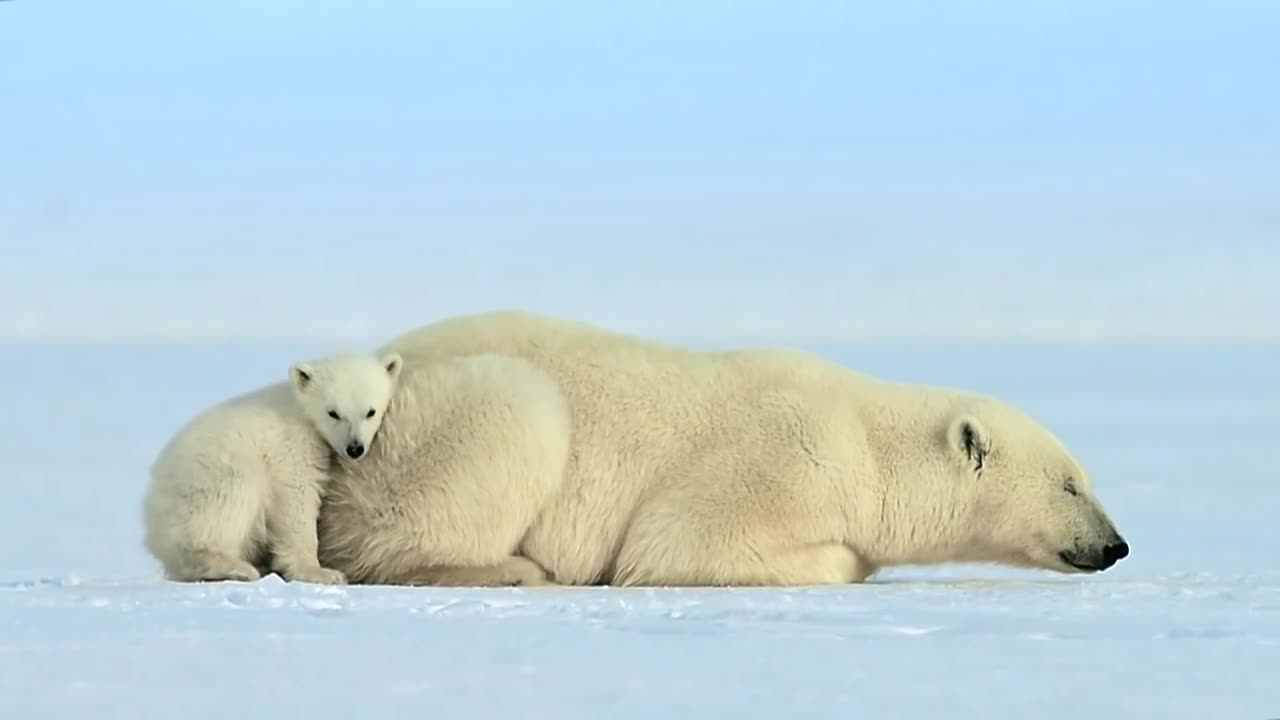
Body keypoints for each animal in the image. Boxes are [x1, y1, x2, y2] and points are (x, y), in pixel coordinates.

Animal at [140, 351, 401, 579]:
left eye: (370, 412)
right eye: (333, 413)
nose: (354, 448)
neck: (301, 411)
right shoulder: (292, 444)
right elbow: (298, 498)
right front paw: (321, 573)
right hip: (207, 481)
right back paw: (236, 567)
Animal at [317, 308, 1131, 584]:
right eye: (1071, 484)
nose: (1116, 545)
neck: (869, 445)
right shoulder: (786, 456)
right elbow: (680, 542)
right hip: (408, 436)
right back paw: (517, 570)